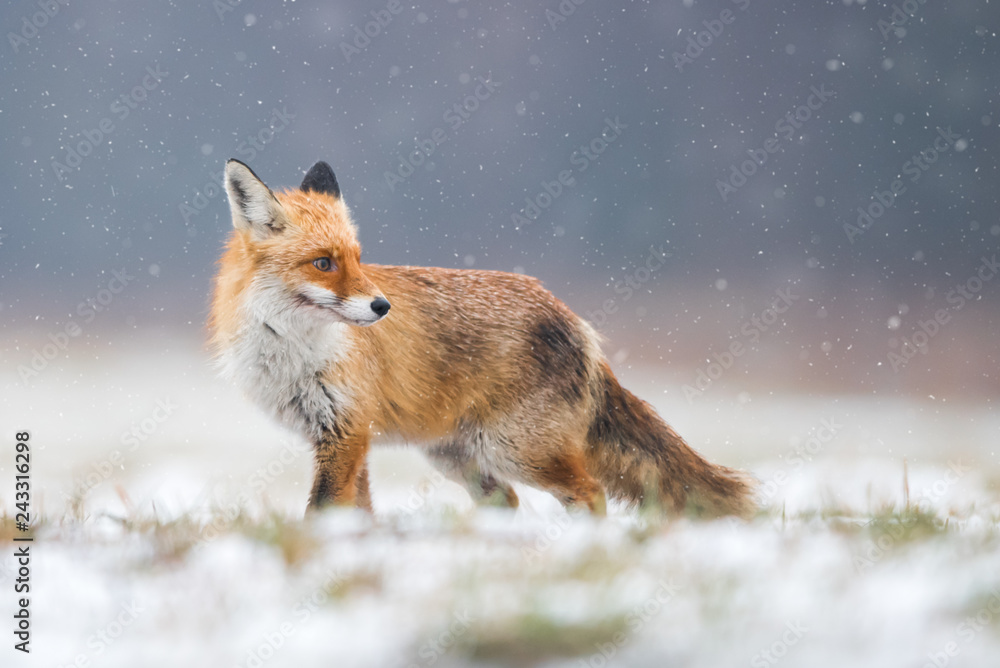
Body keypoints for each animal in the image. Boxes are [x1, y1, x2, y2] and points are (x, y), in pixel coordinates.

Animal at [210, 159, 757, 518]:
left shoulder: (346, 431)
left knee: (589, 491)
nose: (382, 307)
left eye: (358, 259)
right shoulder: (348, 434)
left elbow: (322, 510)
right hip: (458, 455)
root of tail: (574, 319)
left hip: (516, 449)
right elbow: (355, 511)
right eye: (323, 263)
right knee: (508, 500)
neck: (292, 353)